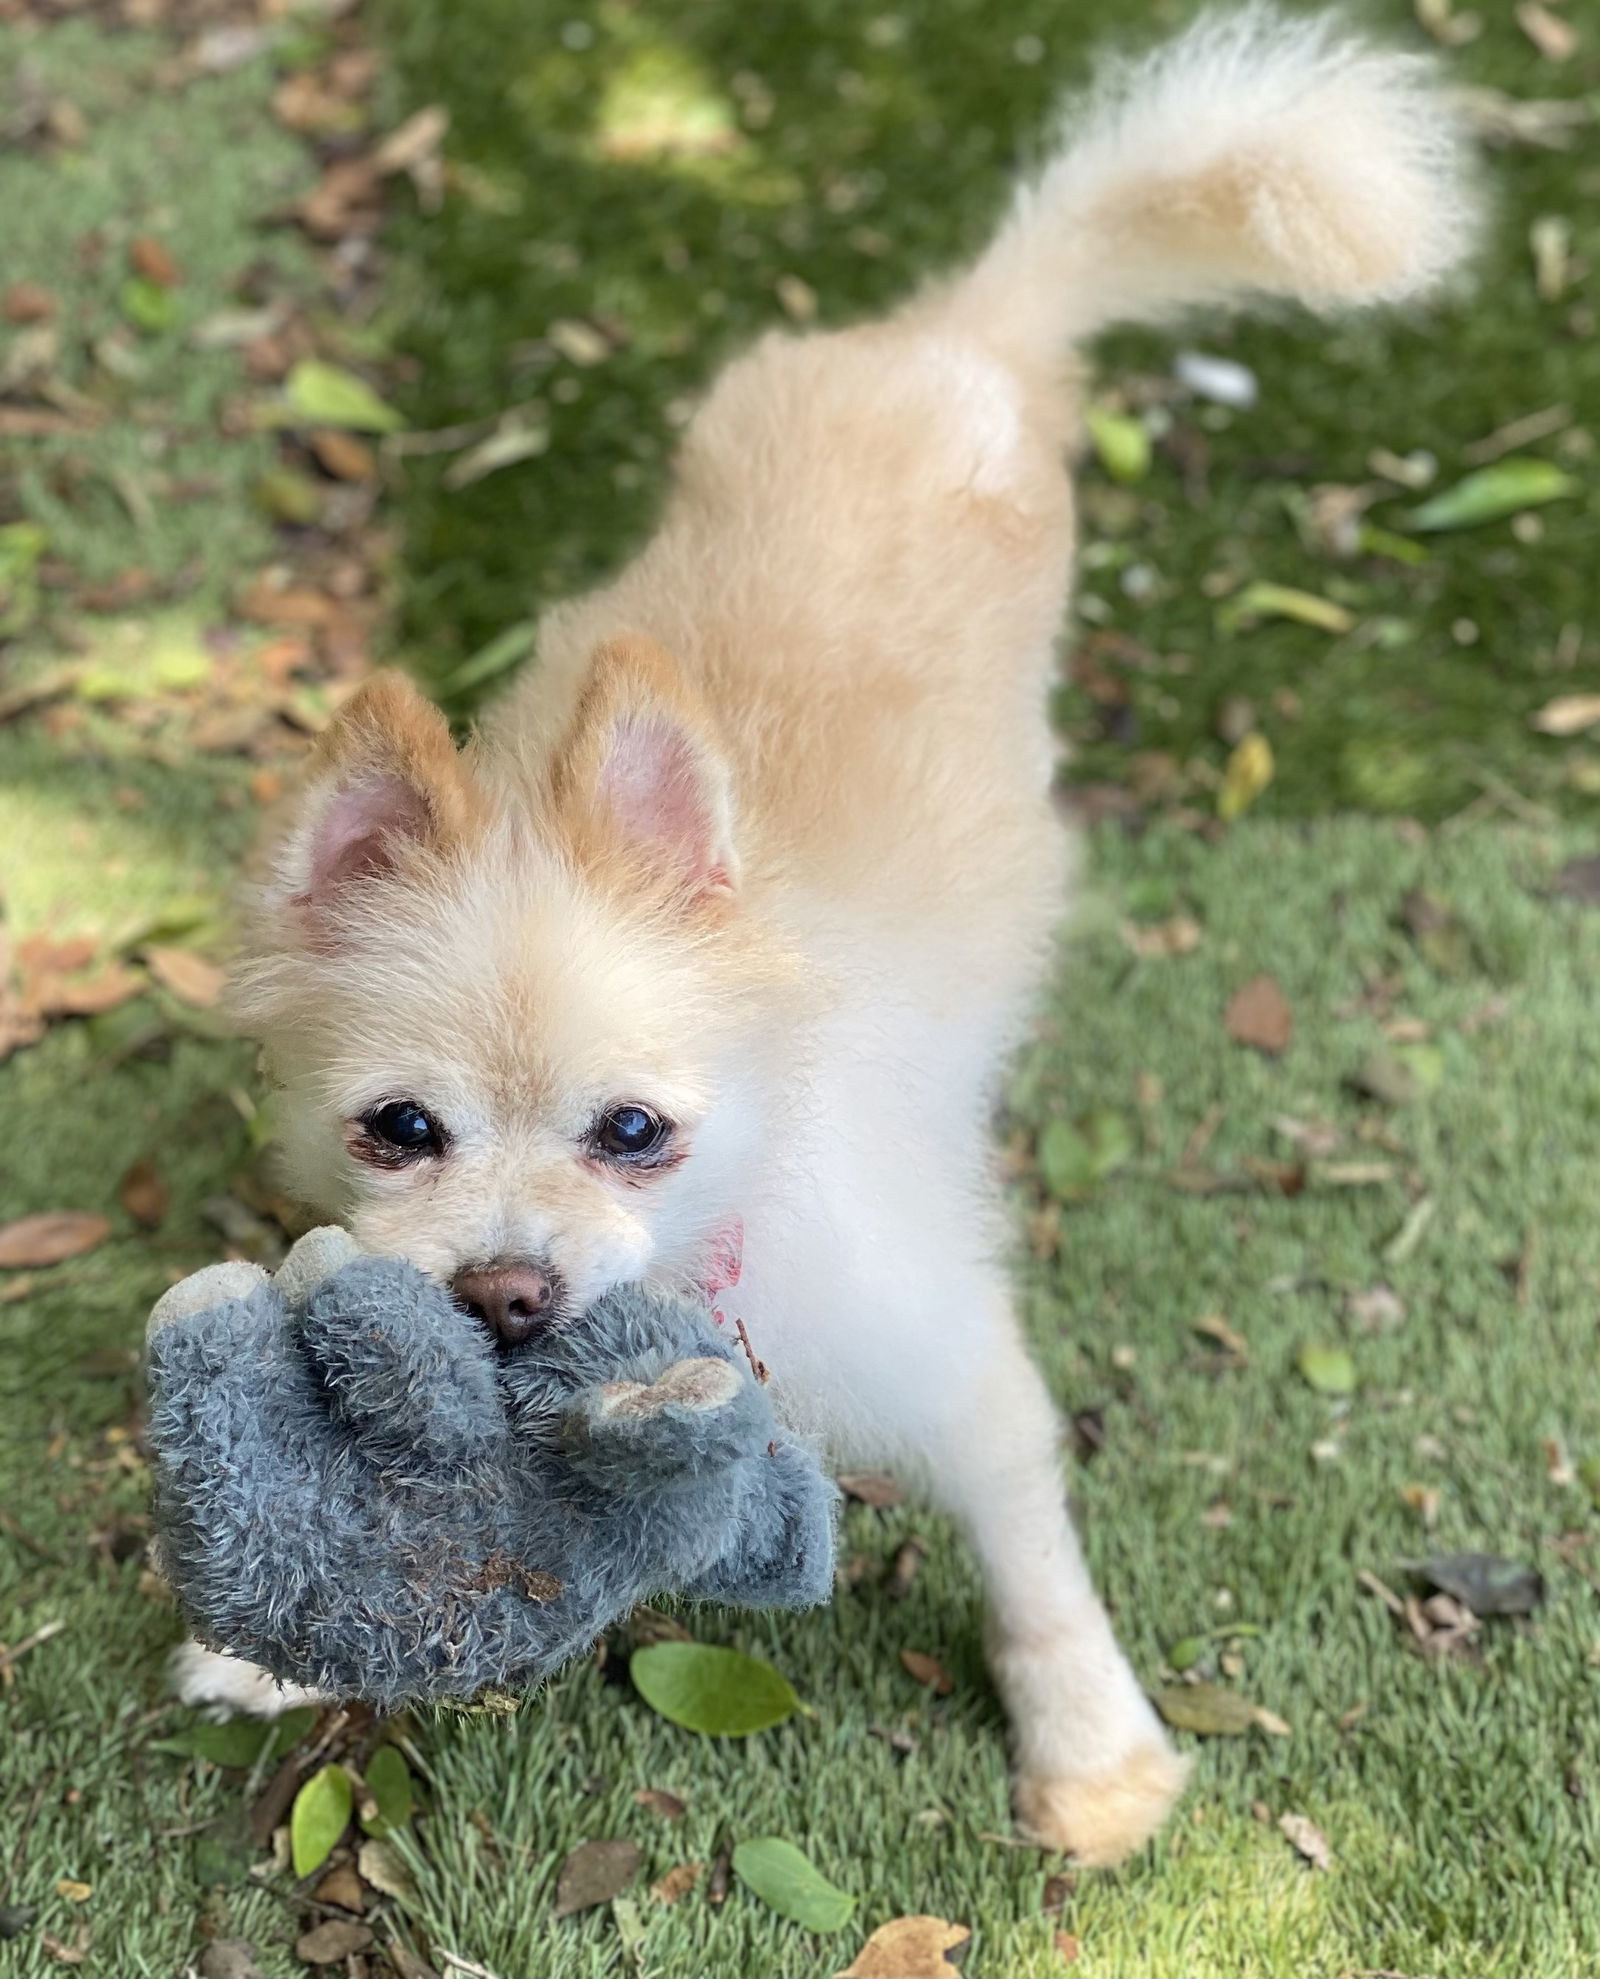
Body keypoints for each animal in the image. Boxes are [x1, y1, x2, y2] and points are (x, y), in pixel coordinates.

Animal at [178, 3, 1473, 1868]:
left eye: (635, 1130)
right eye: (398, 1128)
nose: (505, 1290)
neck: (717, 1246)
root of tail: (961, 329)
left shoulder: (954, 1360)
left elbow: (1032, 1553)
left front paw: (1094, 1754)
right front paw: (257, 1645)